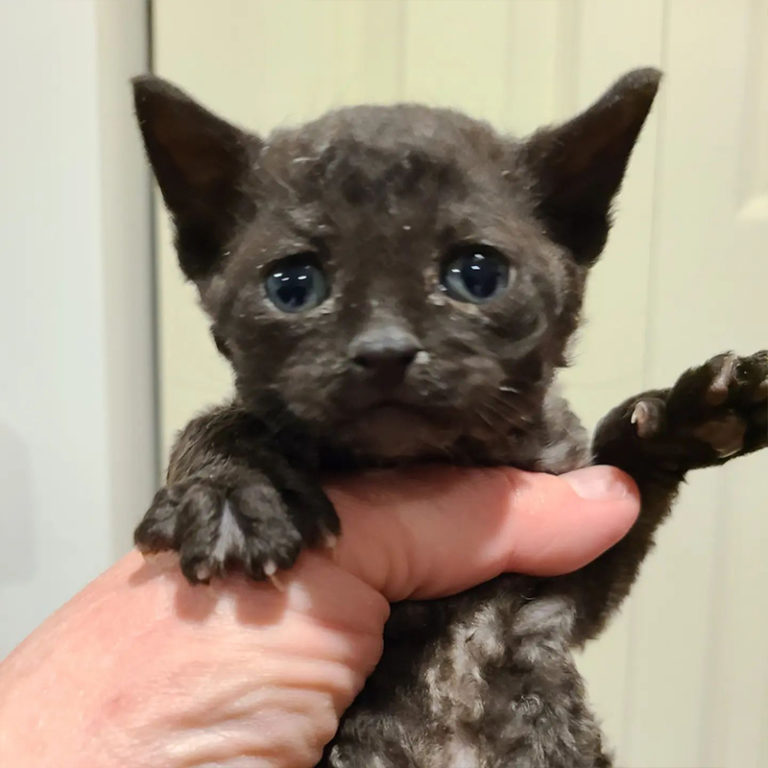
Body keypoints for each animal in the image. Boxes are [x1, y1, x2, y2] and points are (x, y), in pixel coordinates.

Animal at [132, 69, 768, 764]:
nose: (384, 349)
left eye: (478, 275)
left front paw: (688, 415)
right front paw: (231, 488)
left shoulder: (561, 603)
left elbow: (628, 488)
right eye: (292, 285)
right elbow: (219, 420)